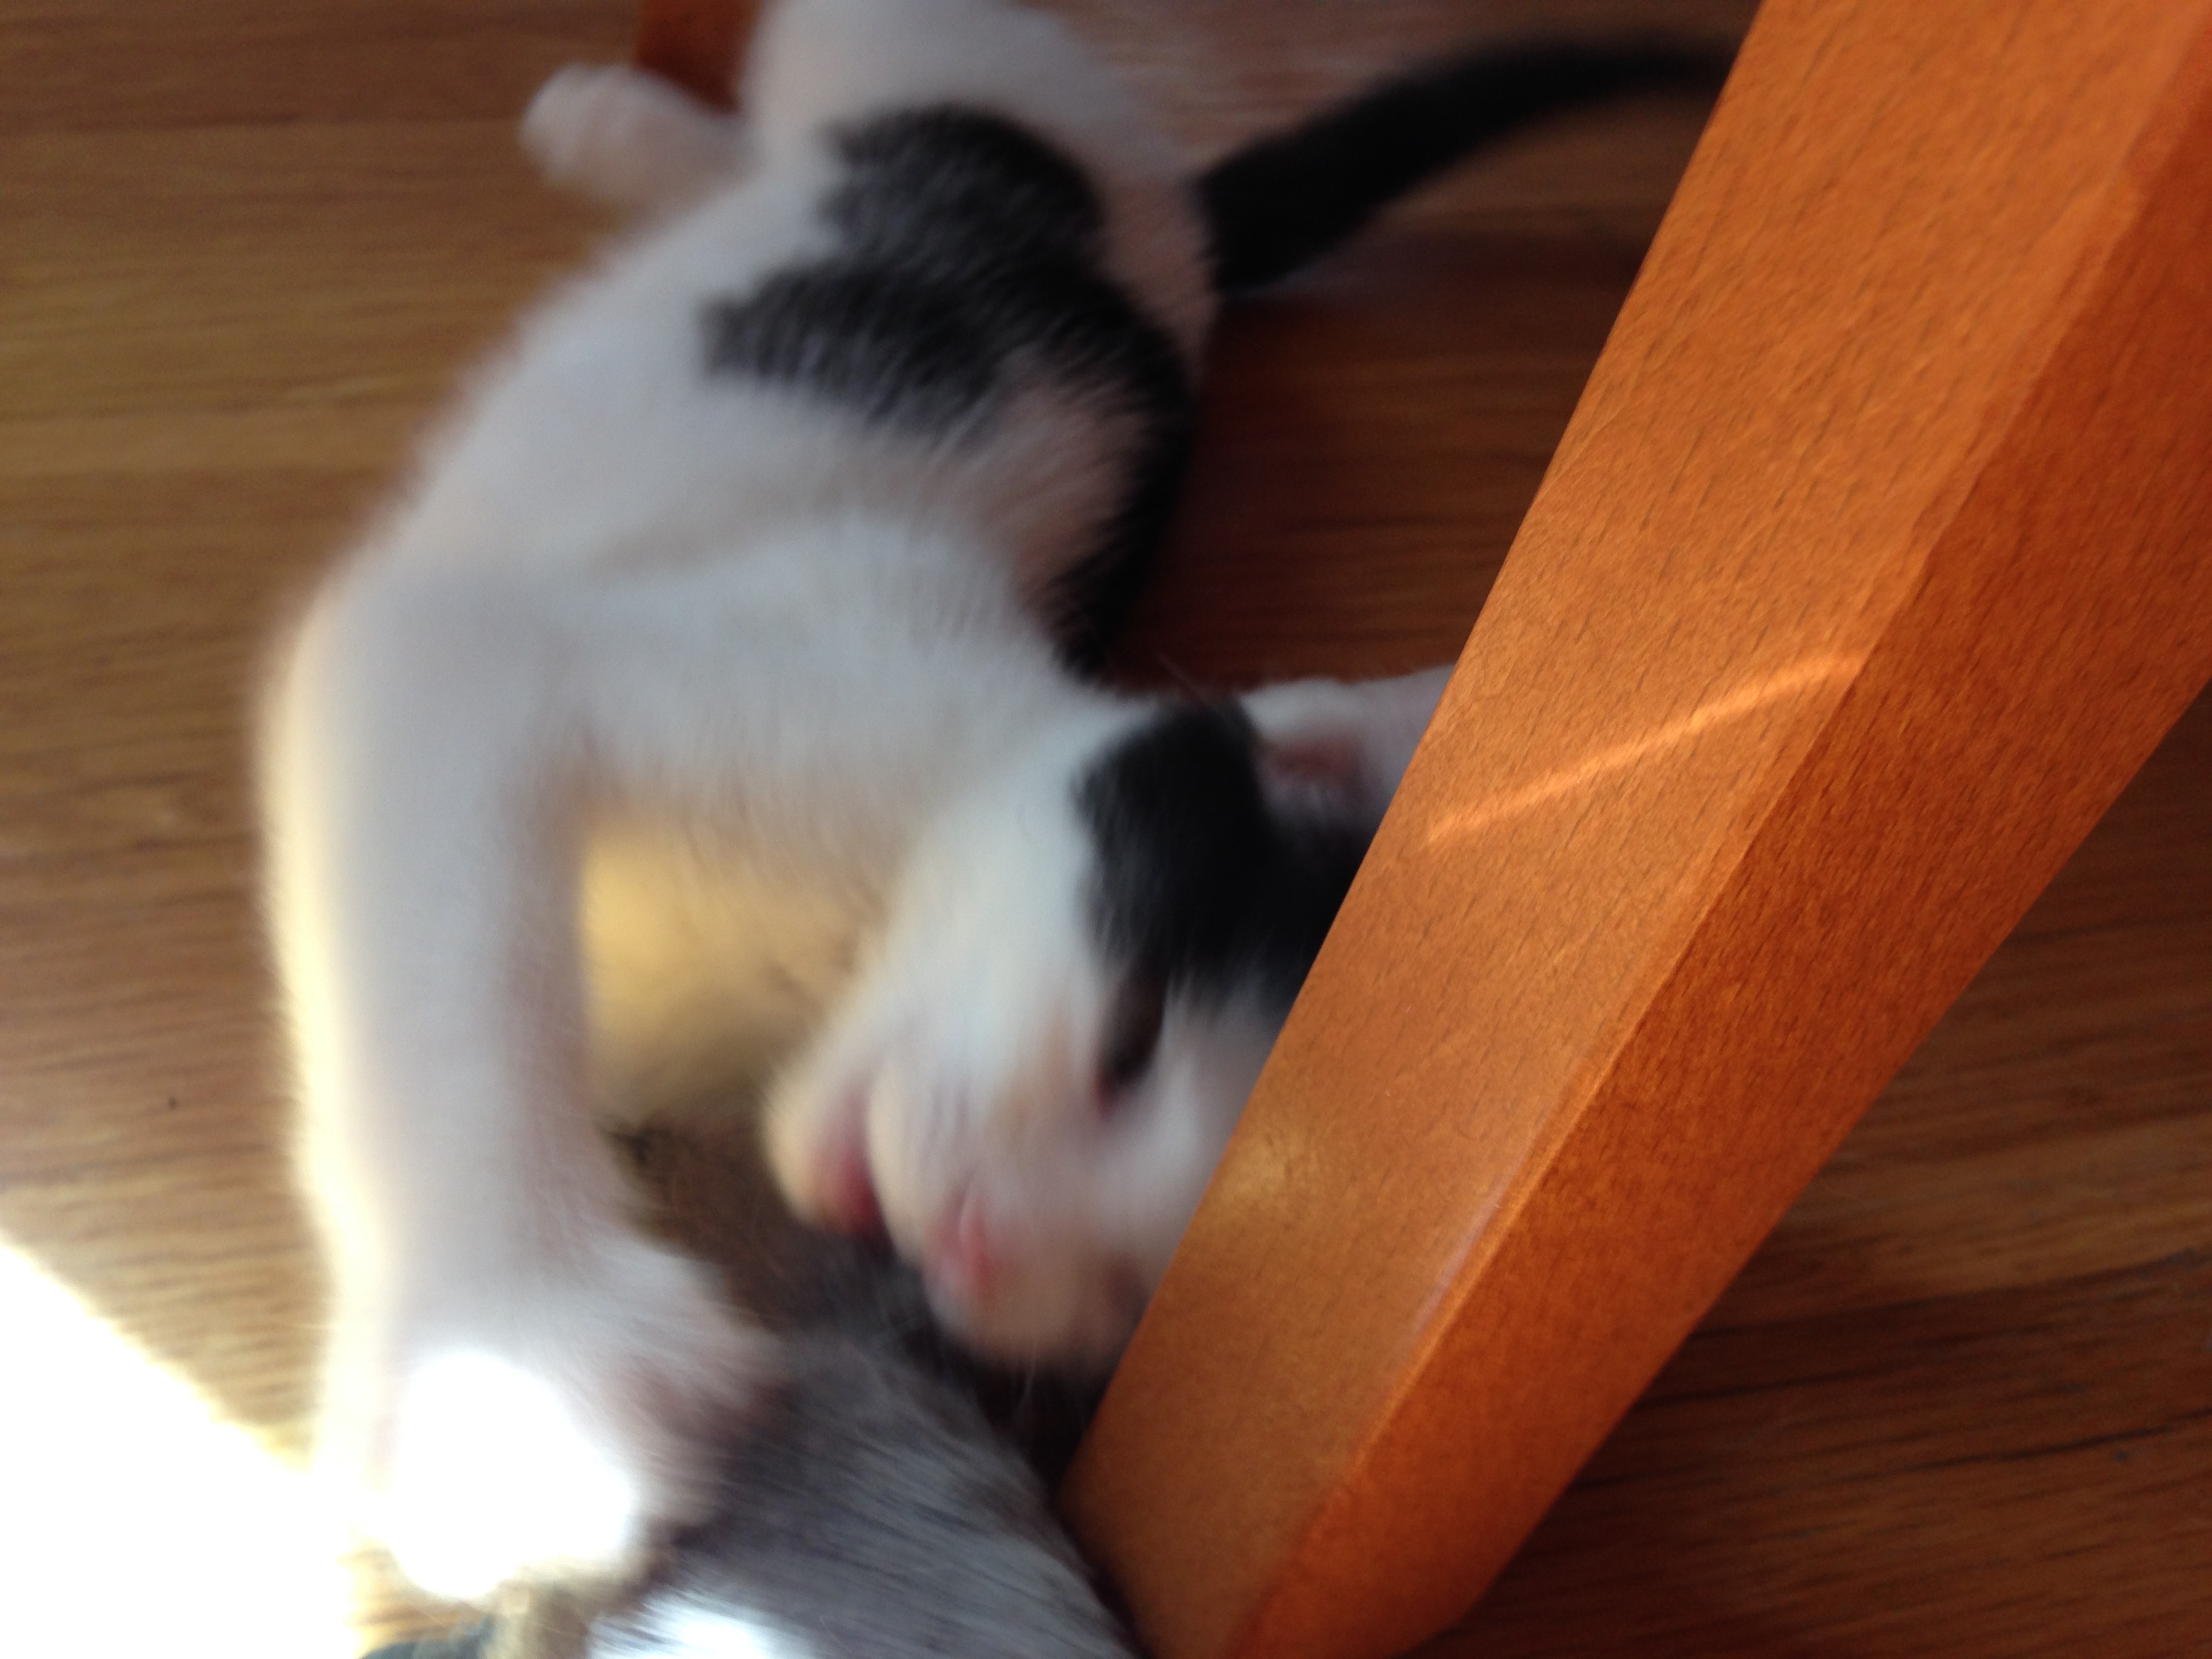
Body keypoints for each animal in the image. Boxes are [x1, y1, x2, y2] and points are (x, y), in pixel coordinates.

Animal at [260, 0, 1729, 1602]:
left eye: (1142, 1292)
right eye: (1128, 1040)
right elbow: (448, 972)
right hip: (945, 62)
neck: (812, 977)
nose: (966, 1241)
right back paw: (621, 124)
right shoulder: (515, 655)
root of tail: (1158, 208)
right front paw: (513, 1368)